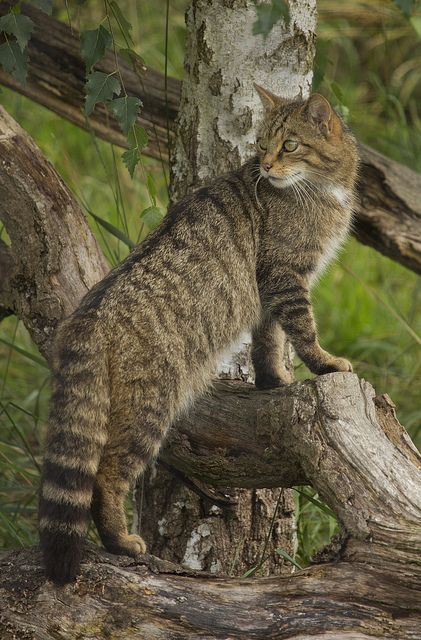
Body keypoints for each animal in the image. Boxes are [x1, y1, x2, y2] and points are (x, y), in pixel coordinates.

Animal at [38, 86, 358, 584]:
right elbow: (301, 330)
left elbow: (269, 342)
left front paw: (275, 380)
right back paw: (120, 540)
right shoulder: (286, 275)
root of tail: (85, 319)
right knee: (105, 477)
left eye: (288, 145)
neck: (323, 186)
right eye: (263, 143)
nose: (266, 166)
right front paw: (324, 363)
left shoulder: (268, 292)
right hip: (149, 408)